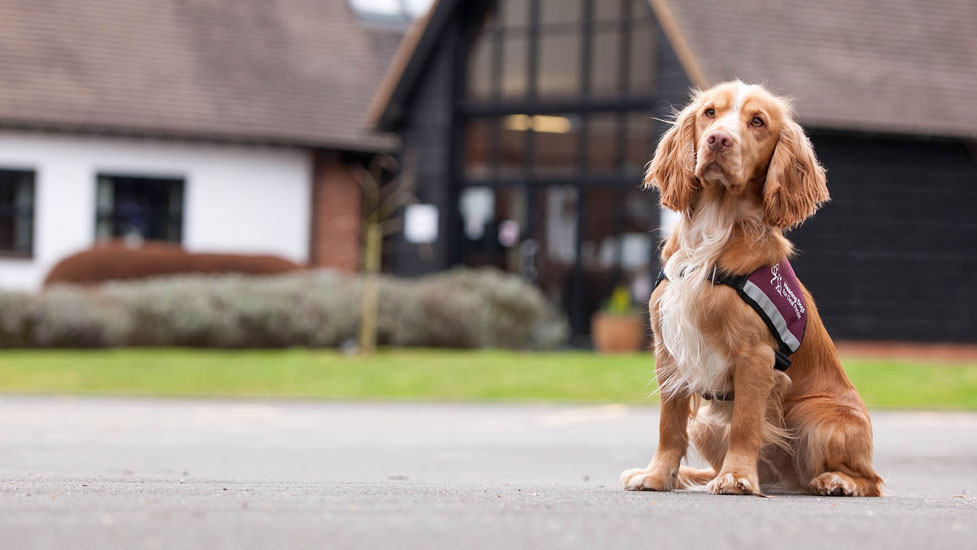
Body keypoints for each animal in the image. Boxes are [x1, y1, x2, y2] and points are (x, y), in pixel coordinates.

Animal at [624, 82, 884, 500]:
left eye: (758, 122)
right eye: (710, 113)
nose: (718, 140)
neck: (715, 228)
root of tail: (787, 482)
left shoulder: (755, 356)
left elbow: (746, 424)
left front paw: (737, 478)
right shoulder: (668, 352)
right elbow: (670, 425)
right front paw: (658, 475)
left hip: (813, 416)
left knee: (872, 480)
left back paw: (836, 480)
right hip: (708, 425)